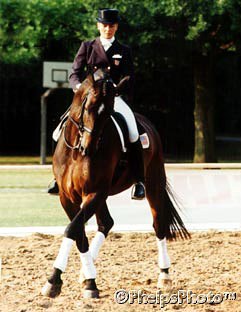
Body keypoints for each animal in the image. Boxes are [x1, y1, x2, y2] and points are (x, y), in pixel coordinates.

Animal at [41, 67, 189, 298]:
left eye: (109, 112)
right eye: (88, 106)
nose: (89, 148)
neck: (76, 151)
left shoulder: (94, 192)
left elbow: (72, 229)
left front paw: (55, 280)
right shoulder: (68, 197)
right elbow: (78, 233)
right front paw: (88, 281)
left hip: (153, 184)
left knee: (159, 225)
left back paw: (164, 276)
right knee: (106, 223)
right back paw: (85, 272)